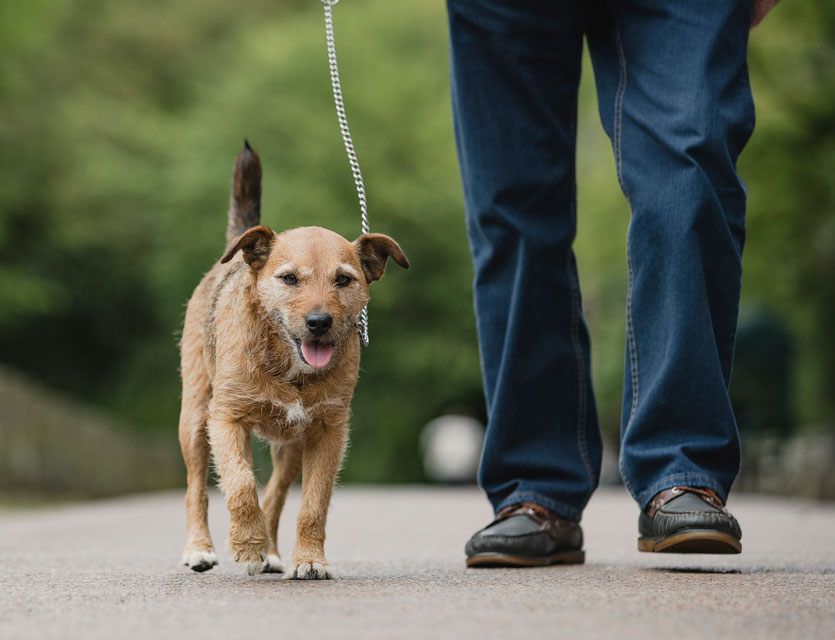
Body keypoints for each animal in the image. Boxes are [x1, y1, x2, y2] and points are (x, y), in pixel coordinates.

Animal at [178, 142, 410, 576]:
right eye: (289, 278)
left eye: (344, 279)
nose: (319, 322)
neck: (289, 368)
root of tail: (234, 257)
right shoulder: (226, 419)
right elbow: (240, 483)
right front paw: (248, 544)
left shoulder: (328, 432)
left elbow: (313, 503)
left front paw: (309, 558)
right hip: (196, 418)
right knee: (196, 486)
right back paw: (200, 548)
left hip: (291, 448)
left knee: (276, 494)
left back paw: (271, 551)